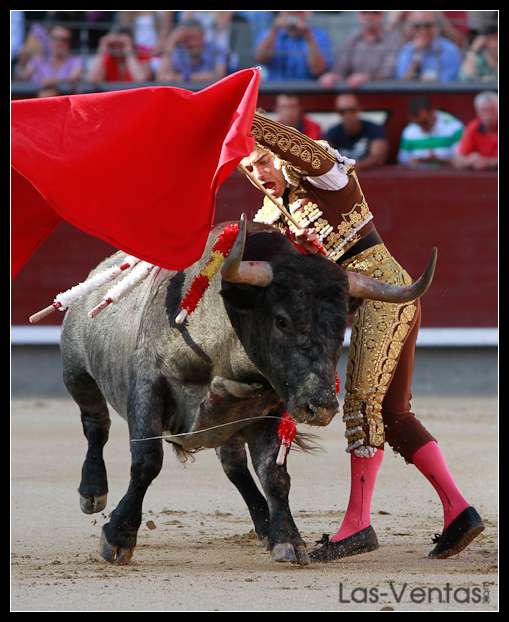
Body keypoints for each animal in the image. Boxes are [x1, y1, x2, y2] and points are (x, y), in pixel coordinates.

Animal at [60, 215, 436, 566]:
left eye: (340, 327)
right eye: (281, 320)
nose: (321, 406)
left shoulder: (269, 409)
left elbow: (274, 473)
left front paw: (287, 540)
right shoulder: (147, 386)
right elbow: (147, 461)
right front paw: (117, 538)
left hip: (224, 425)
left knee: (234, 465)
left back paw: (265, 524)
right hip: (77, 373)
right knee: (95, 424)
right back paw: (92, 491)